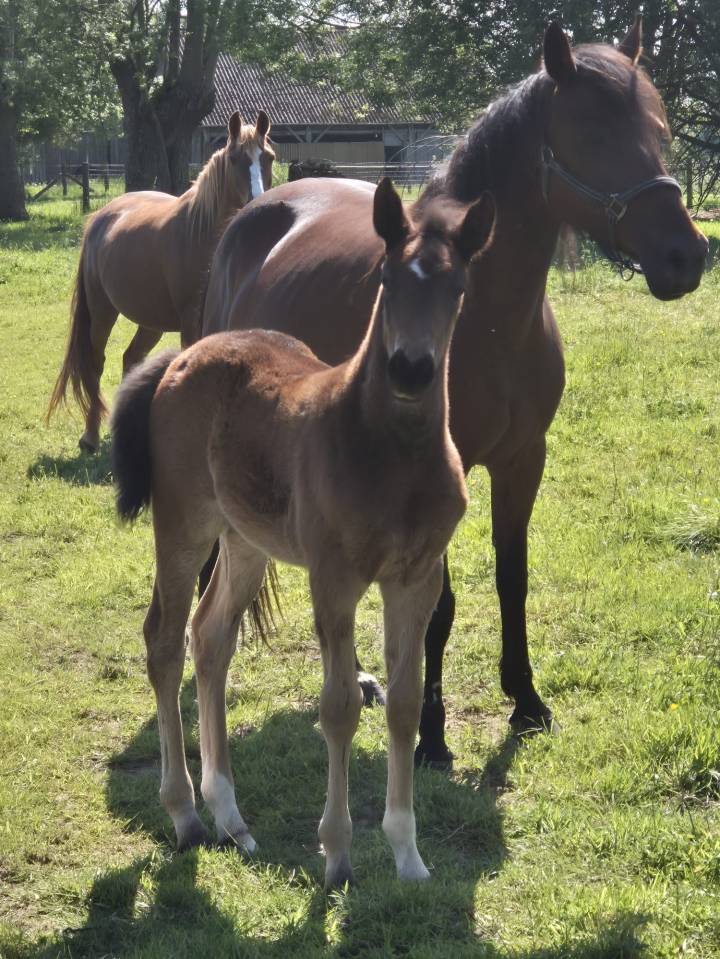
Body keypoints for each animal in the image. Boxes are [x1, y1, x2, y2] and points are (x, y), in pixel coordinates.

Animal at [48, 110, 275, 453]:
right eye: (235, 158)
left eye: (269, 158)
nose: (256, 202)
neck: (205, 236)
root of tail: (101, 217)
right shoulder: (191, 324)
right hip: (102, 312)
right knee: (96, 364)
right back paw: (90, 437)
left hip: (151, 322)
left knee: (131, 360)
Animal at [110, 179, 495, 886]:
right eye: (387, 277)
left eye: (458, 287)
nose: (410, 369)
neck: (390, 455)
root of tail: (183, 356)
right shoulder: (334, 579)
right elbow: (339, 707)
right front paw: (338, 854)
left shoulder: (416, 578)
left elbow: (402, 705)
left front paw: (408, 856)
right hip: (184, 523)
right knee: (164, 640)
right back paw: (185, 815)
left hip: (244, 542)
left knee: (211, 638)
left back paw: (231, 818)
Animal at [200, 20, 708, 767]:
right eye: (591, 131)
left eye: (660, 127)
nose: (687, 256)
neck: (486, 317)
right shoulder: (444, 473)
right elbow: (437, 604)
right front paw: (432, 736)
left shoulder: (524, 458)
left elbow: (511, 577)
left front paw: (526, 701)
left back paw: (360, 676)